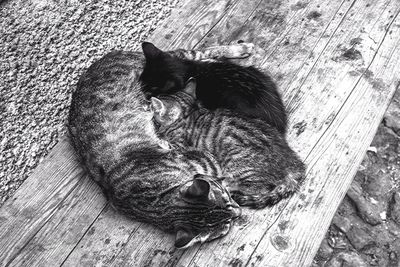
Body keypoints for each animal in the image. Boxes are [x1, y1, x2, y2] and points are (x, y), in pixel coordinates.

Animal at [66, 45, 253, 249]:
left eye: (227, 199)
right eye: (227, 225)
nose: (239, 212)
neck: (155, 201)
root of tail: (102, 59)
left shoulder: (204, 159)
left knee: (197, 52)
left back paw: (240, 48)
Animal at [150, 79, 306, 209]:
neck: (189, 113)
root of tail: (293, 165)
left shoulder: (182, 144)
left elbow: (169, 144)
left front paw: (158, 139)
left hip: (237, 162)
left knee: (260, 187)